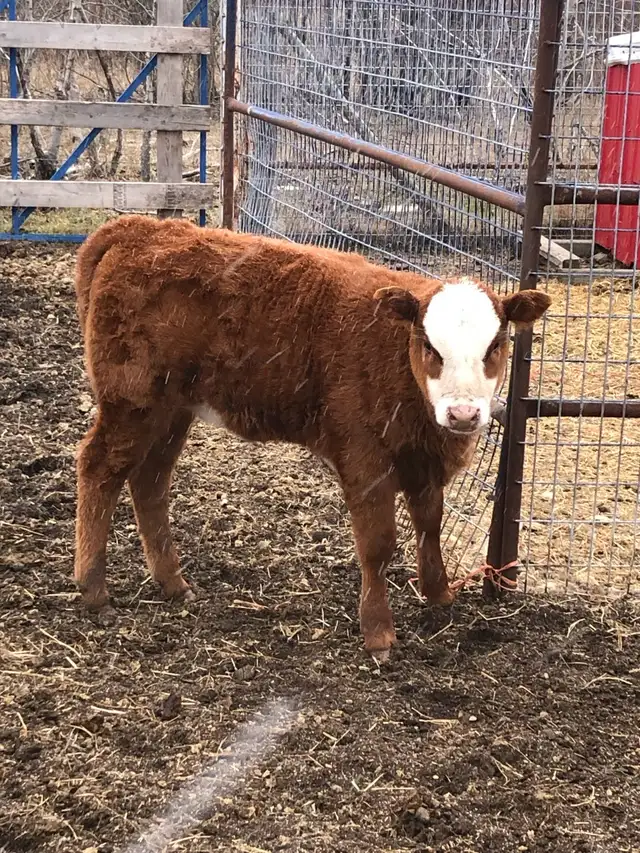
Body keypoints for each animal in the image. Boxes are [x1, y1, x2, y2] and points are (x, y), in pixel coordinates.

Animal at [73, 215, 550, 659]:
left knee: (150, 480)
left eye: (496, 345)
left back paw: (173, 582)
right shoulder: (363, 456)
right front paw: (379, 633)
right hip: (132, 402)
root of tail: (140, 228)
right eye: (430, 346)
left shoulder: (423, 460)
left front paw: (439, 595)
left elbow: (429, 524)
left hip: (171, 410)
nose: (463, 413)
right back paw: (93, 588)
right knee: (100, 468)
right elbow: (377, 544)